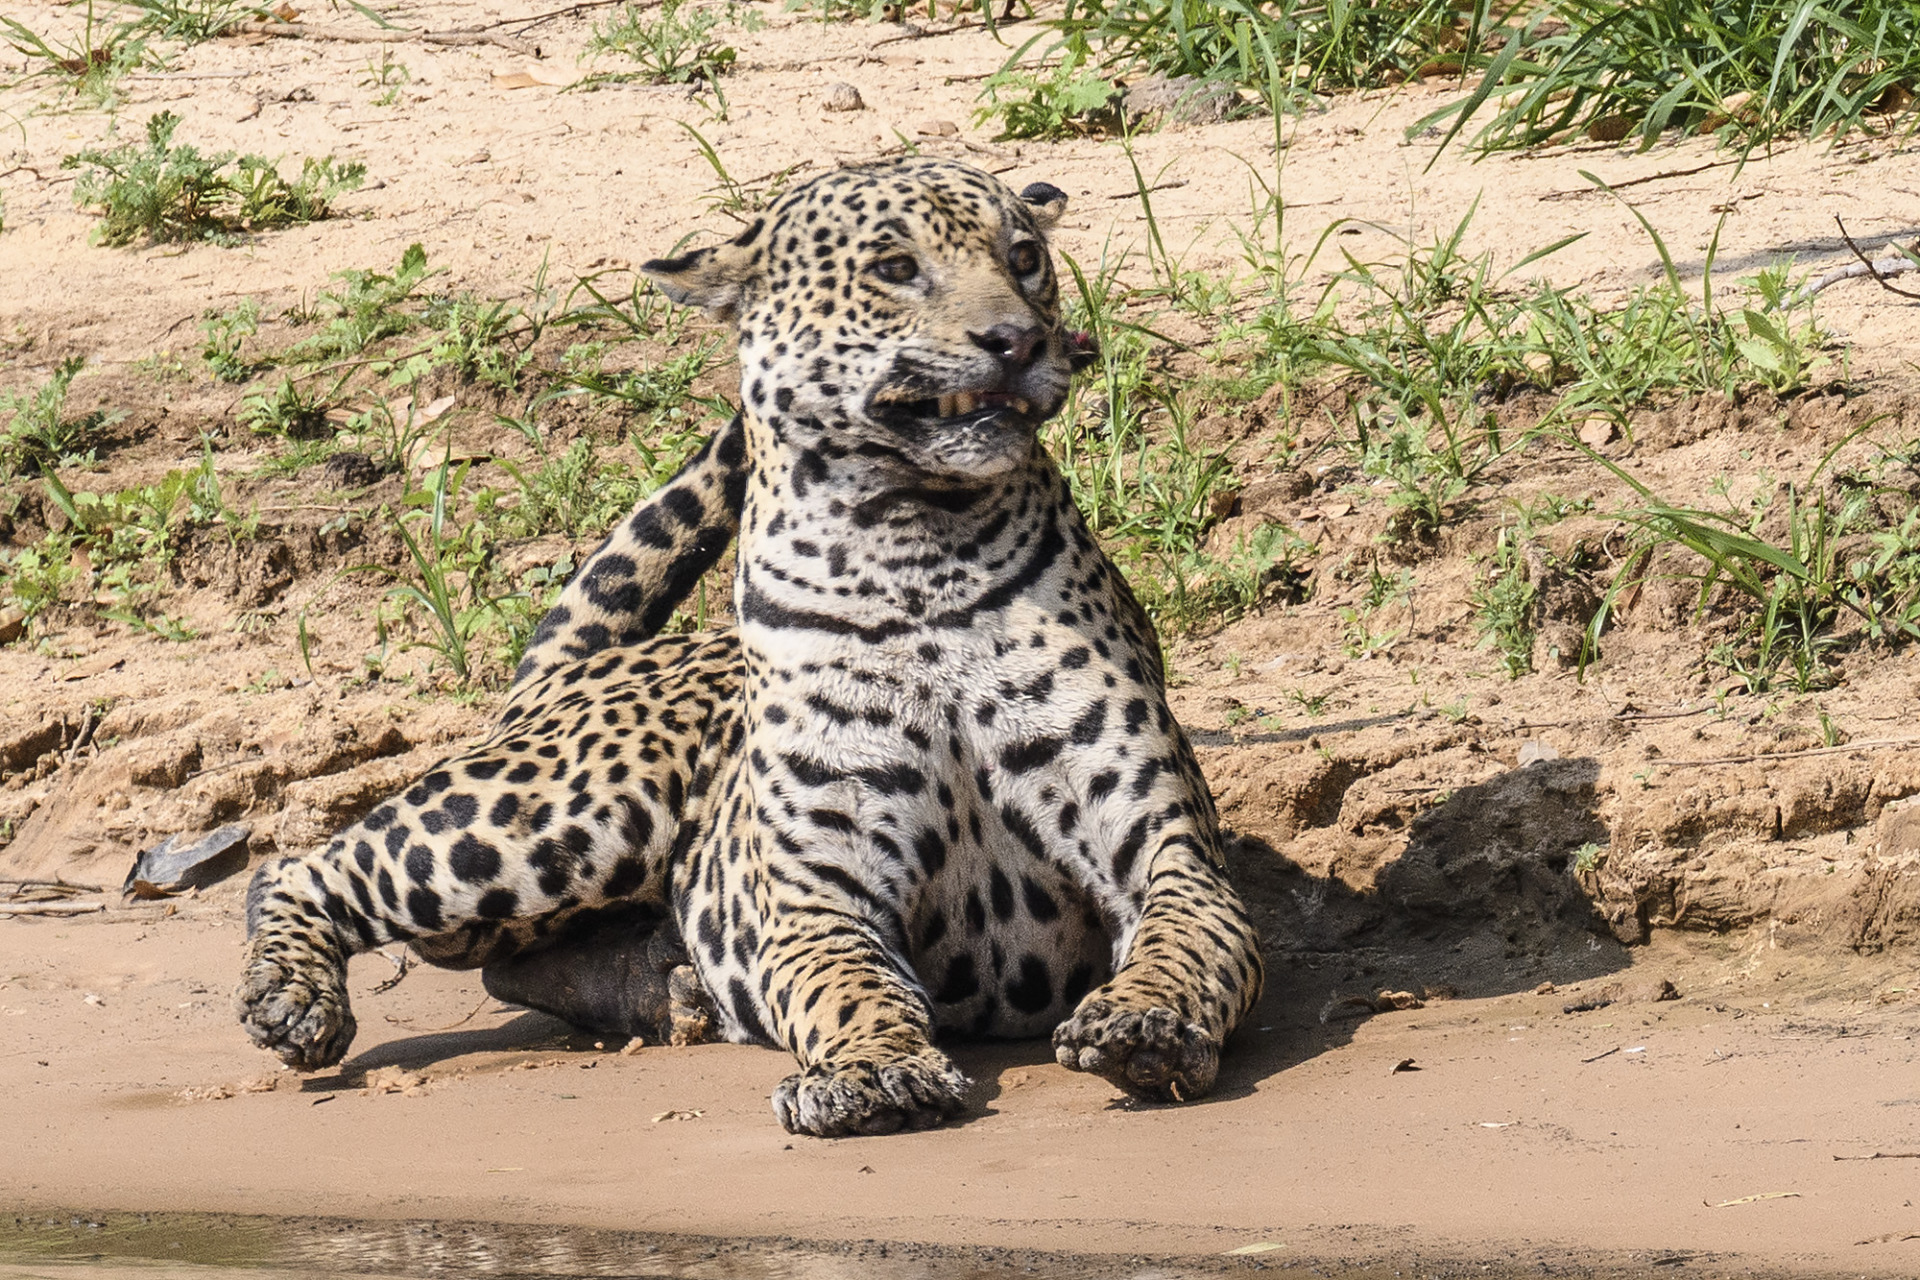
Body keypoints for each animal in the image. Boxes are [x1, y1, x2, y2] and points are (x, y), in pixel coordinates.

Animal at [235, 157, 1265, 1137]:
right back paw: (293, 1000)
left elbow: (1185, 943)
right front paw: (873, 1075)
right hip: (563, 810)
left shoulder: (1169, 849)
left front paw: (1142, 1023)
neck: (917, 544)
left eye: (1024, 258)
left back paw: (667, 990)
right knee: (301, 869)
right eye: (896, 268)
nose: (1018, 339)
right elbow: (850, 990)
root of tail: (573, 672)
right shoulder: (820, 895)